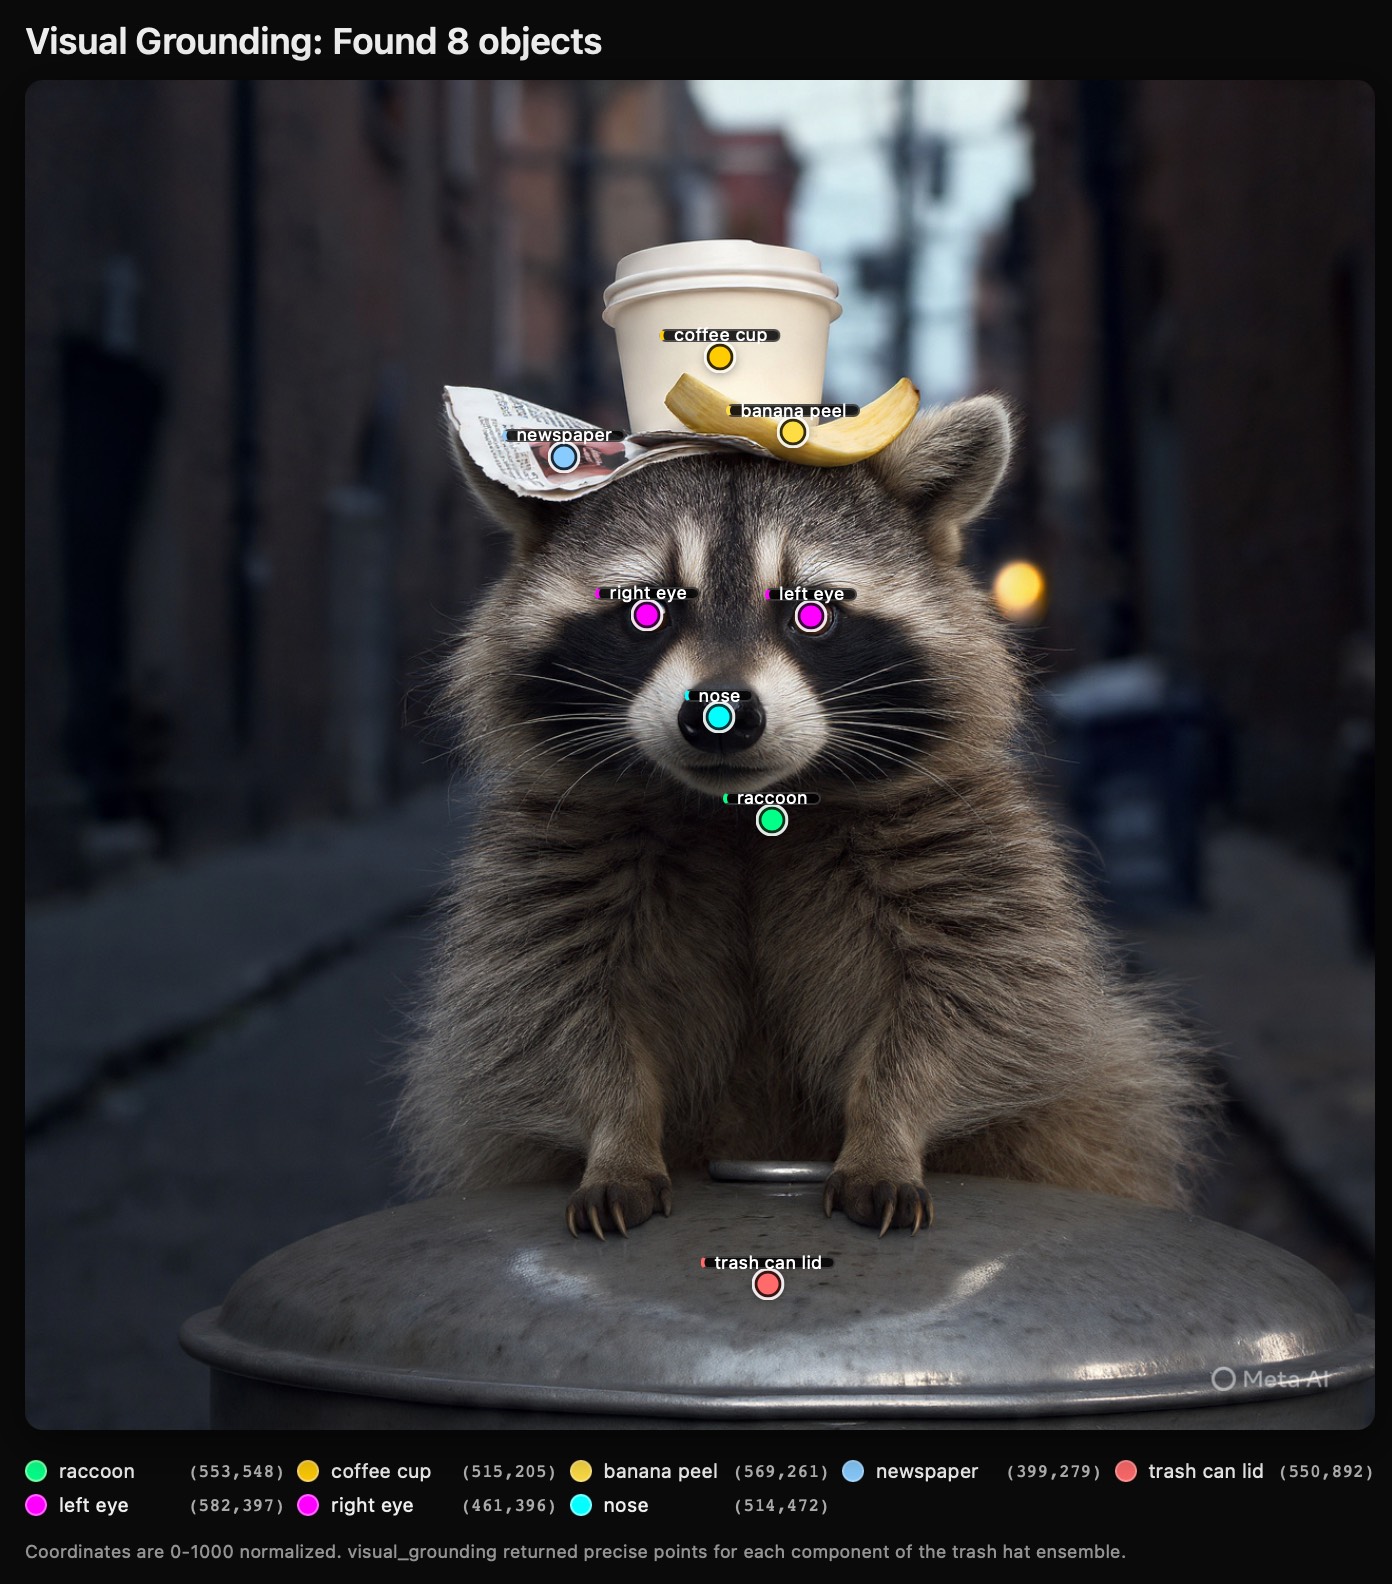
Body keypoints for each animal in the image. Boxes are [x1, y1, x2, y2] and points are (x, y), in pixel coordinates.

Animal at [399, 396, 1213, 1236]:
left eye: (812, 614)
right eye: (646, 614)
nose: (718, 716)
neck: (747, 809)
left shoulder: (960, 851)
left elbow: (972, 1006)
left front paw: (886, 1130)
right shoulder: (561, 860)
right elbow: (554, 1014)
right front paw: (618, 1136)